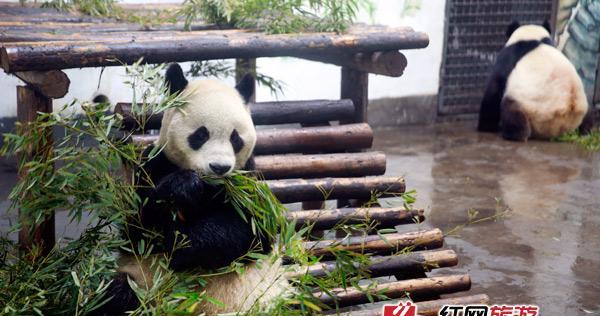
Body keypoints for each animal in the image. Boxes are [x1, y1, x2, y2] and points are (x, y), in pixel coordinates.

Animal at [96, 63, 288, 314]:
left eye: (235, 138)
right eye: (201, 134)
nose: (219, 167)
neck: (210, 188)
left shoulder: (248, 181)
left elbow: (253, 231)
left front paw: (186, 246)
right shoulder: (153, 166)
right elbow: (138, 230)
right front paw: (183, 187)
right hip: (140, 281)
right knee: (116, 295)